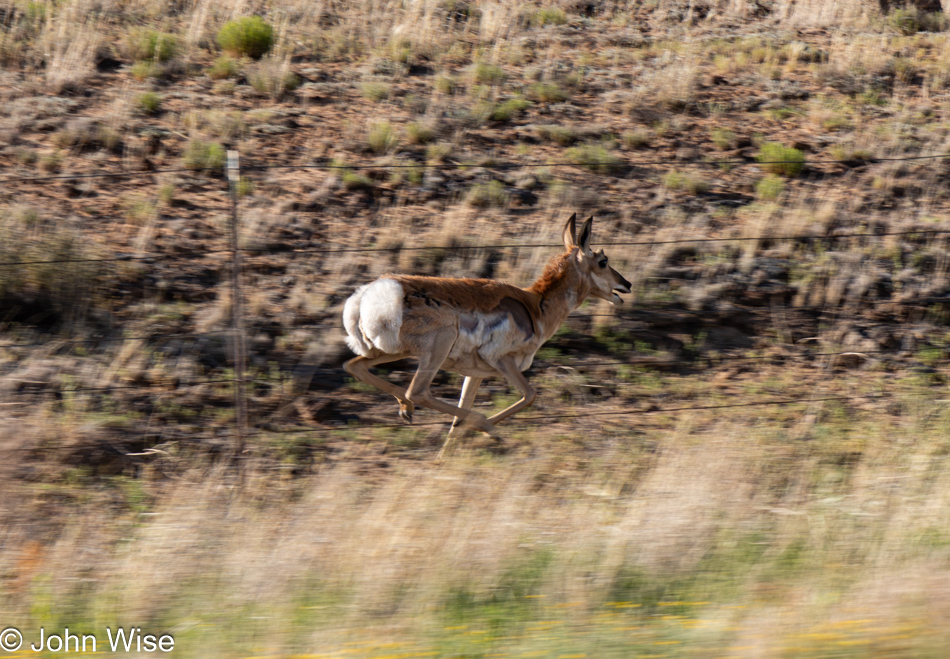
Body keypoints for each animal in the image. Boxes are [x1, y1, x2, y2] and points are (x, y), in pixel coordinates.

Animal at [342, 214, 632, 456]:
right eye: (603, 261)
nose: (627, 284)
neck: (535, 305)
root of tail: (366, 296)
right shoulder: (503, 361)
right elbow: (530, 395)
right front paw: (485, 431)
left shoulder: (475, 374)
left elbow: (460, 414)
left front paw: (445, 457)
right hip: (437, 346)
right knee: (418, 391)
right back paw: (471, 423)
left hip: (394, 352)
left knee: (355, 366)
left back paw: (406, 410)